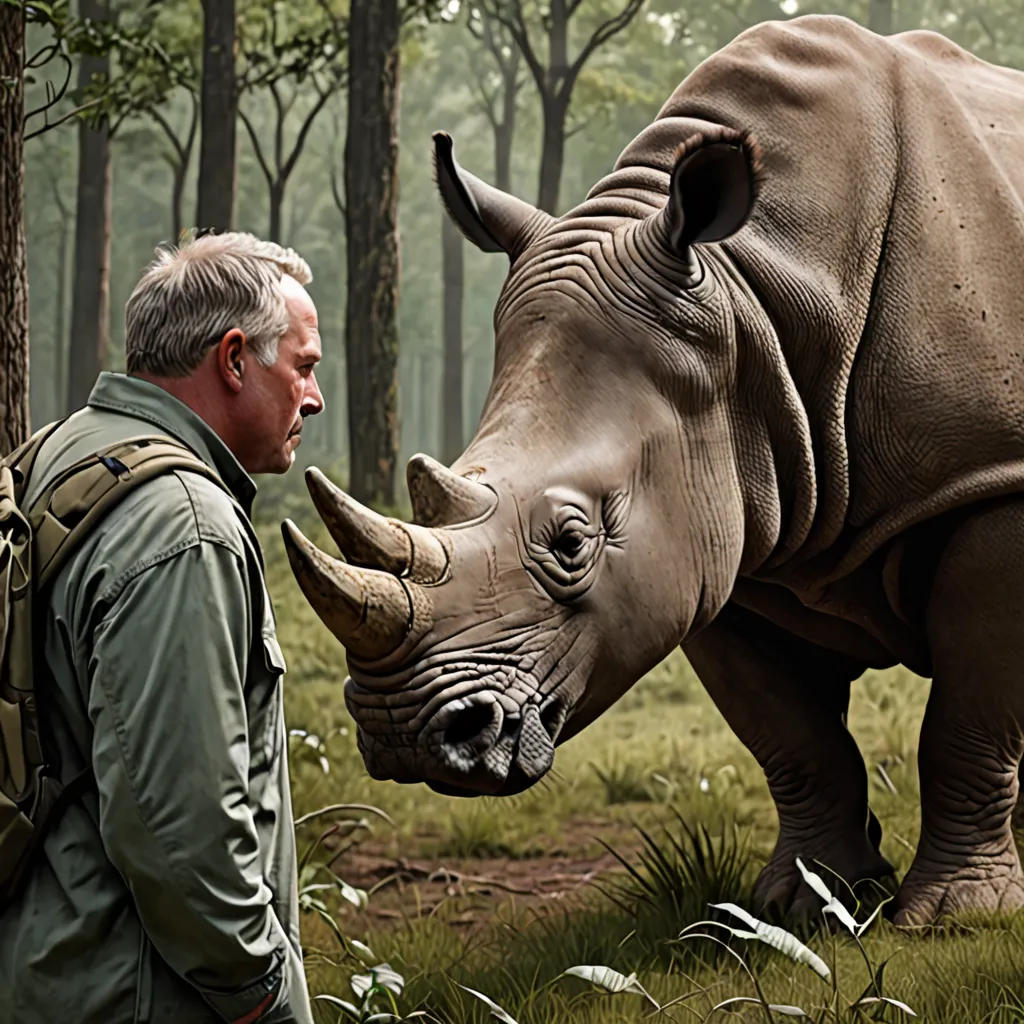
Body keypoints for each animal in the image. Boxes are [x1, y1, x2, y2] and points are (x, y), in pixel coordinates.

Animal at [283, 14, 1024, 925]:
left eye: (571, 541)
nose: (401, 732)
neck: (751, 300)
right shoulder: (727, 521)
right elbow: (795, 736)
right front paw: (803, 906)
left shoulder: (990, 478)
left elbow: (968, 718)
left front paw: (953, 918)